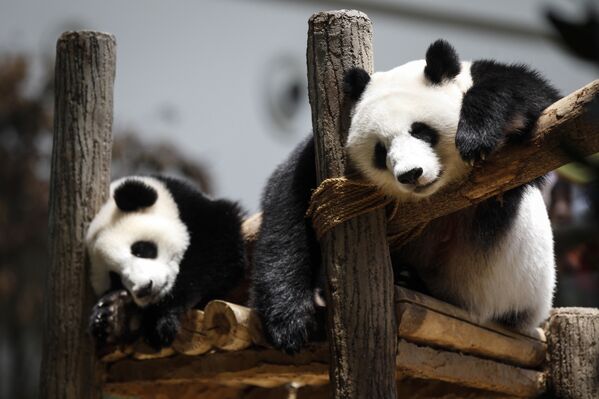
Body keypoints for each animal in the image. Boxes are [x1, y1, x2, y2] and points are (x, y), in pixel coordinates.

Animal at [86, 177, 246, 348]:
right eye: (115, 279)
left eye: (140, 249)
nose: (144, 289)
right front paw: (116, 315)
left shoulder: (200, 212)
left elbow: (215, 250)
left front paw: (161, 320)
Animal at [251, 39, 560, 354]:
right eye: (380, 150)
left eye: (421, 131)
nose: (411, 174)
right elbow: (289, 205)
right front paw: (289, 322)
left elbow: (529, 95)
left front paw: (476, 136)